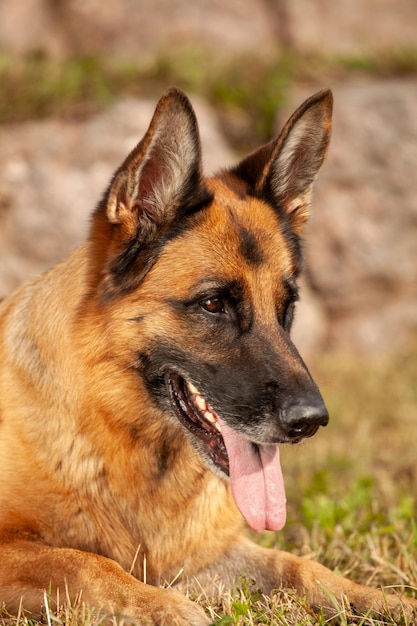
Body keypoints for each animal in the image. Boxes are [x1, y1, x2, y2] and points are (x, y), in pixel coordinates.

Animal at [0, 90, 414, 620]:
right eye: (214, 304)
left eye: (287, 306)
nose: (311, 421)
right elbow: (83, 561)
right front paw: (163, 606)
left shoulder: (203, 556)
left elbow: (301, 567)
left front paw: (384, 600)